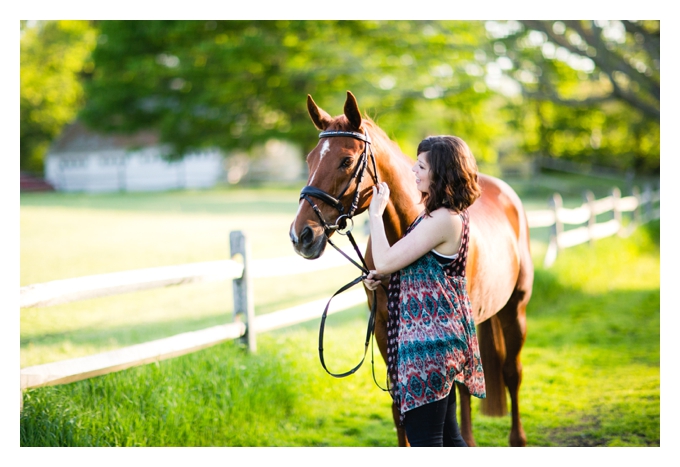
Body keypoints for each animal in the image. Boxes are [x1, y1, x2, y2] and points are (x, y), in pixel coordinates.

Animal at [289, 91, 533, 447]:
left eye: (346, 160)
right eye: (309, 160)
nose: (301, 235)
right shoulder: (382, 326)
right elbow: (398, 405)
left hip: (514, 309)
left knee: (510, 374)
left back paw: (516, 438)